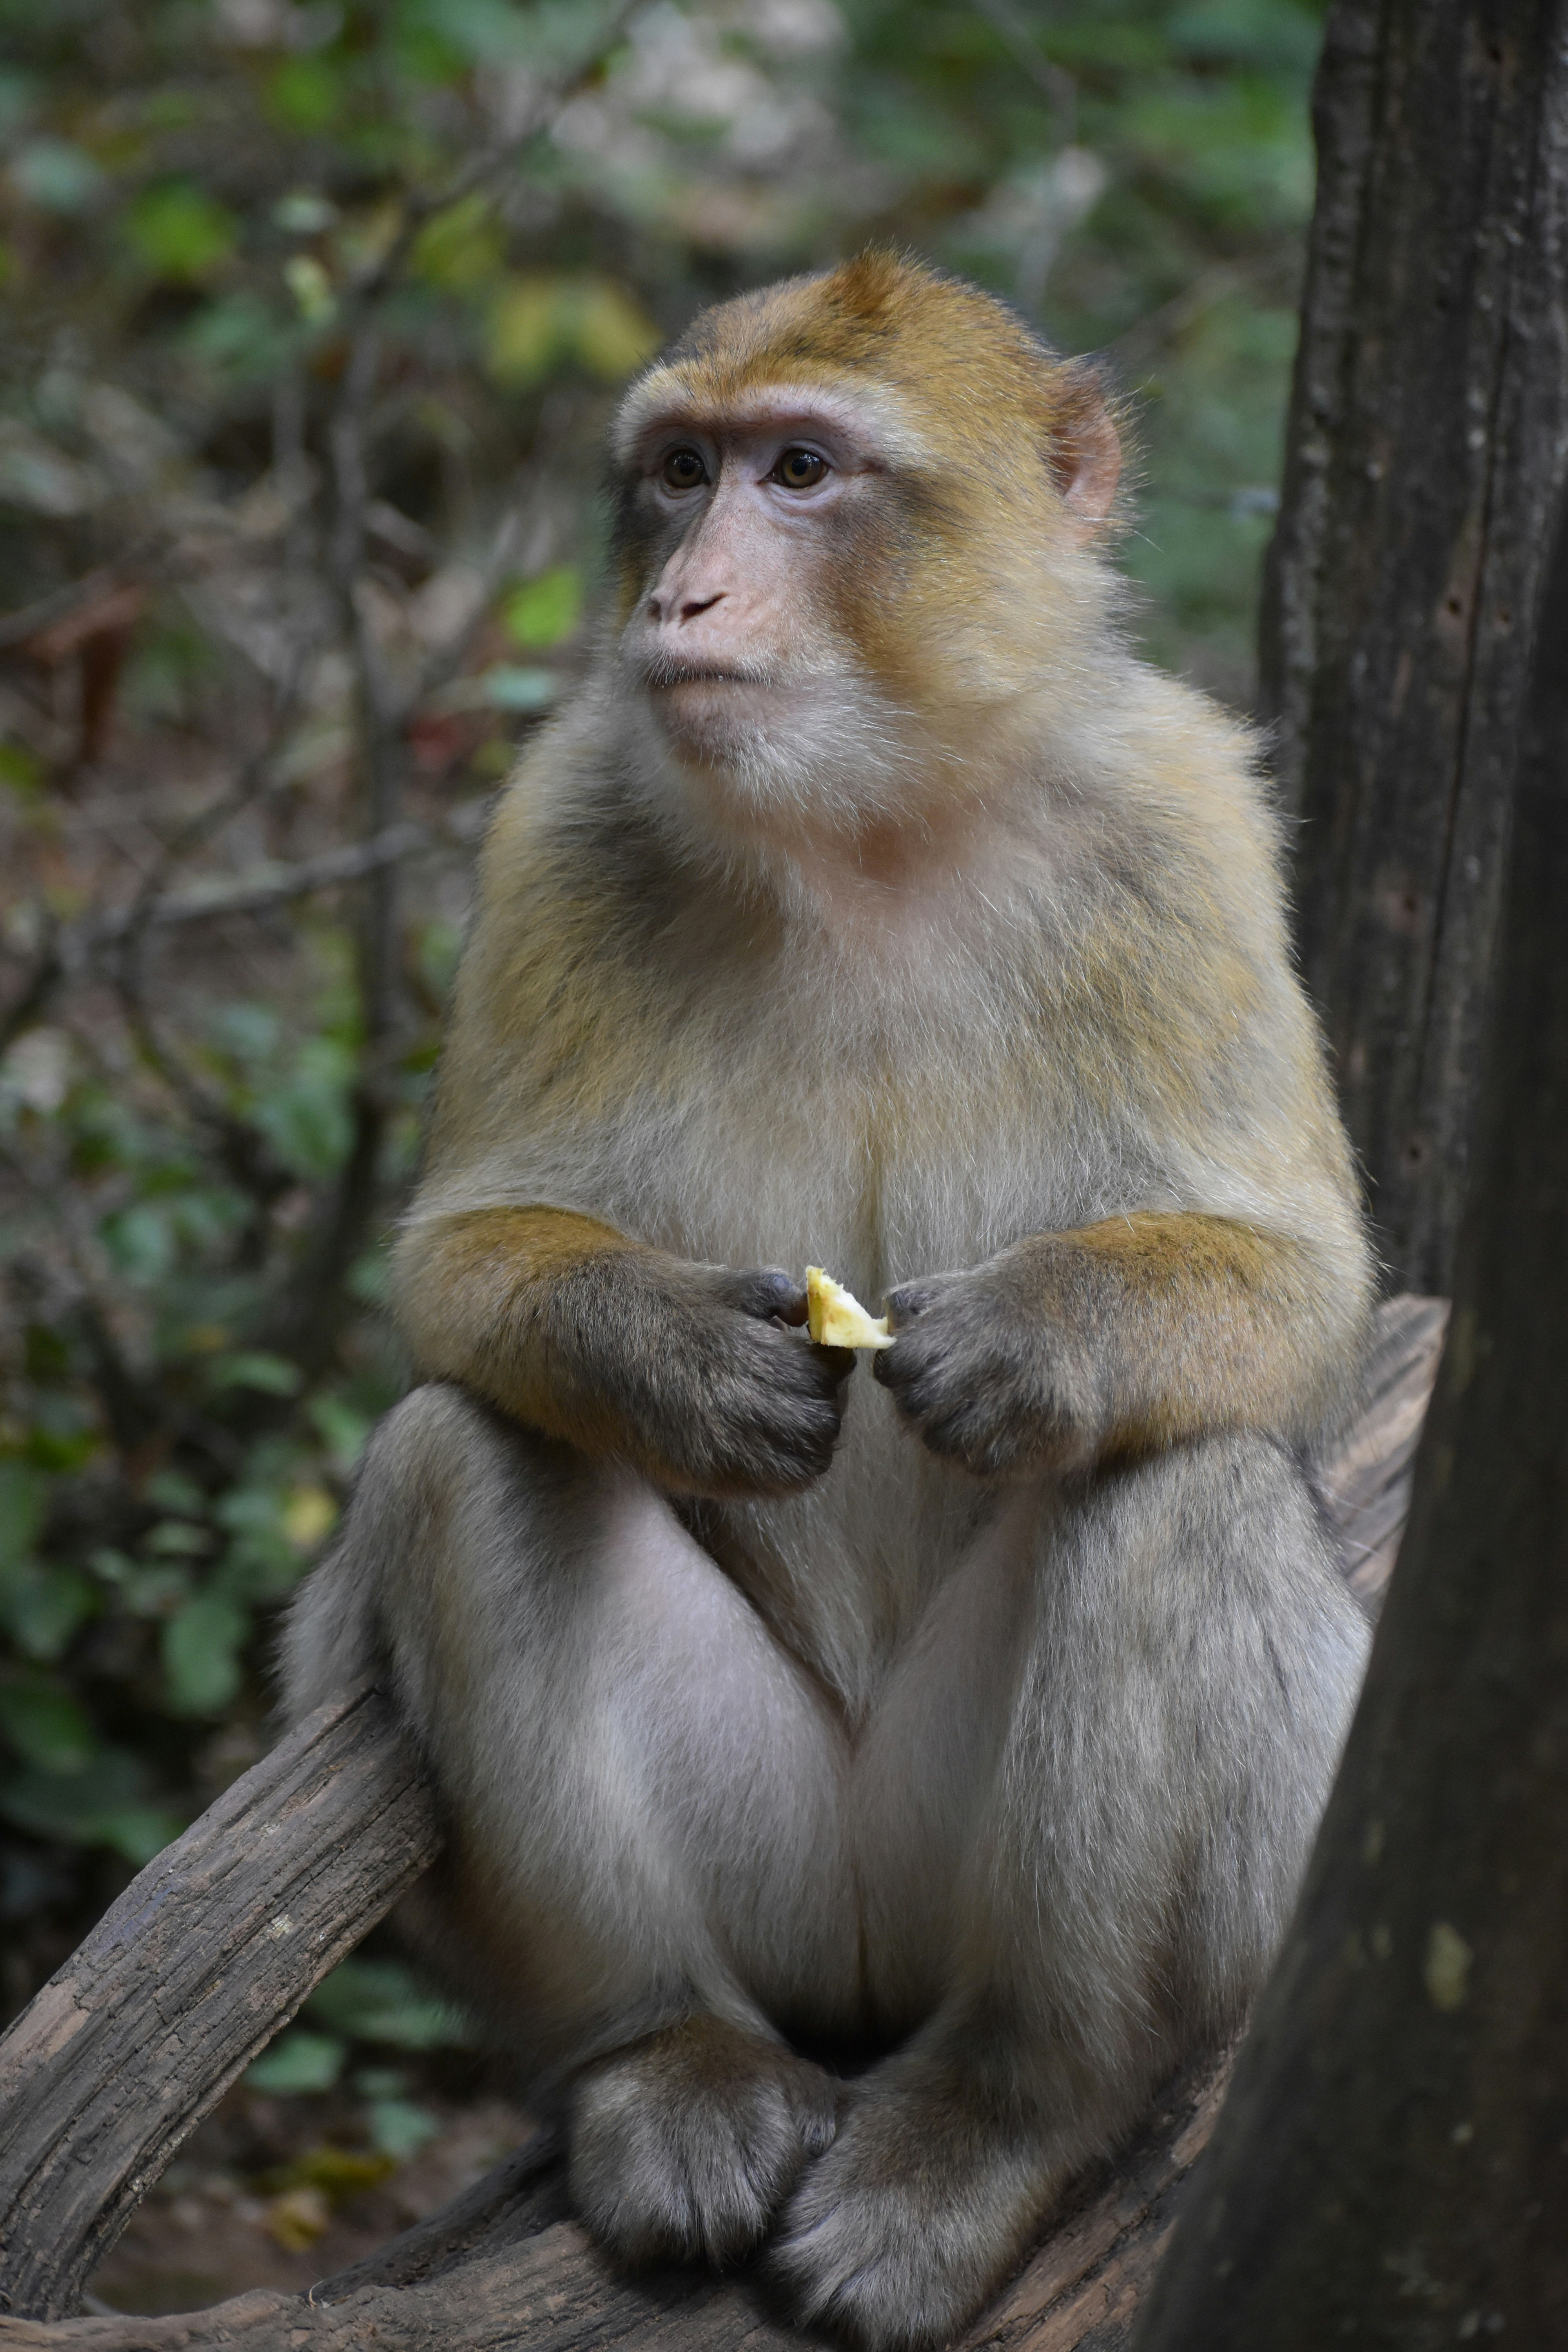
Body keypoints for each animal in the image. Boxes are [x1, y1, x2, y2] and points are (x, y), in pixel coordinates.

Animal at [281, 251, 1372, 2349]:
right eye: (681, 472)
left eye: (801, 471)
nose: (680, 598)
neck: (874, 817)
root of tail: (868, 1961)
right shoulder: (556, 813)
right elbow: (453, 1270)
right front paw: (673, 1360)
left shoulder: (1188, 820)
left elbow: (1305, 1289)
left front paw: (1040, 1339)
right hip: (776, 1865)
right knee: (464, 1460)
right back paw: (666, 2057)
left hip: (1010, 1875)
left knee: (1177, 1493)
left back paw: (999, 2117)